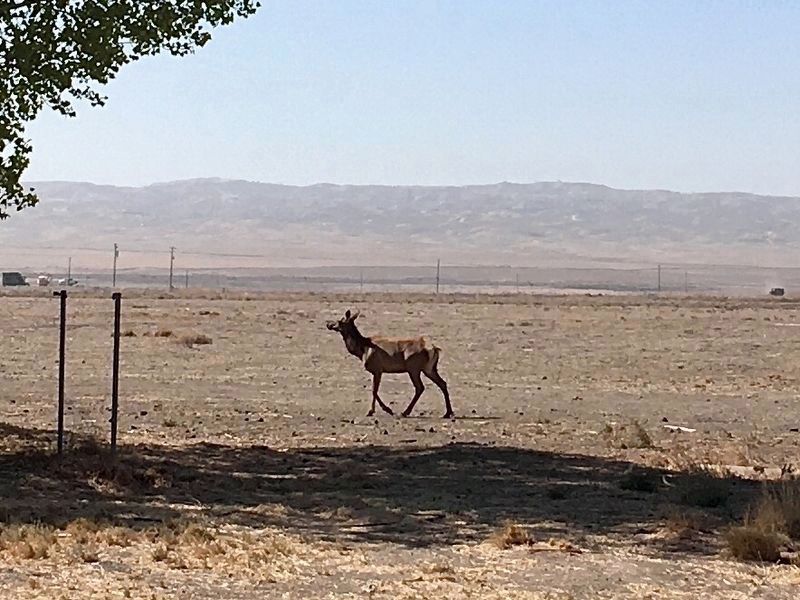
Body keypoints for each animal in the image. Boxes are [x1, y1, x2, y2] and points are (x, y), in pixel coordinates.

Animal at [326, 309, 454, 419]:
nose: (328, 324)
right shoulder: (377, 371)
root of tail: (433, 349)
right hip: (429, 369)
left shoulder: (377, 369)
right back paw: (448, 413)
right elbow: (374, 390)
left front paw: (380, 410)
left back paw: (405, 412)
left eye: (340, 320)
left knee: (420, 387)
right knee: (442, 383)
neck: (362, 350)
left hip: (414, 368)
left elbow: (374, 390)